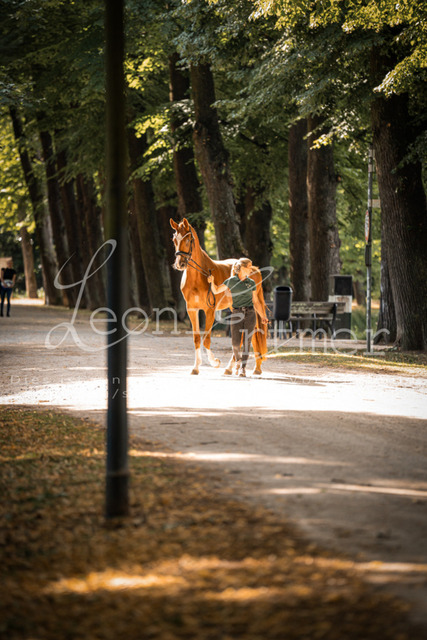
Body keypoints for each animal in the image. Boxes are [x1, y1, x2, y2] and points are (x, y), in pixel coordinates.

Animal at [170, 217, 268, 375]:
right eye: (174, 240)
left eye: (189, 239)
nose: (180, 264)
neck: (198, 277)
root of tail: (254, 269)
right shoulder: (192, 310)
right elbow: (196, 338)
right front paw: (195, 367)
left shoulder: (209, 310)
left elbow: (206, 339)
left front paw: (214, 362)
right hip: (235, 309)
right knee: (242, 337)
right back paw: (236, 368)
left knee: (248, 336)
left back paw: (241, 367)